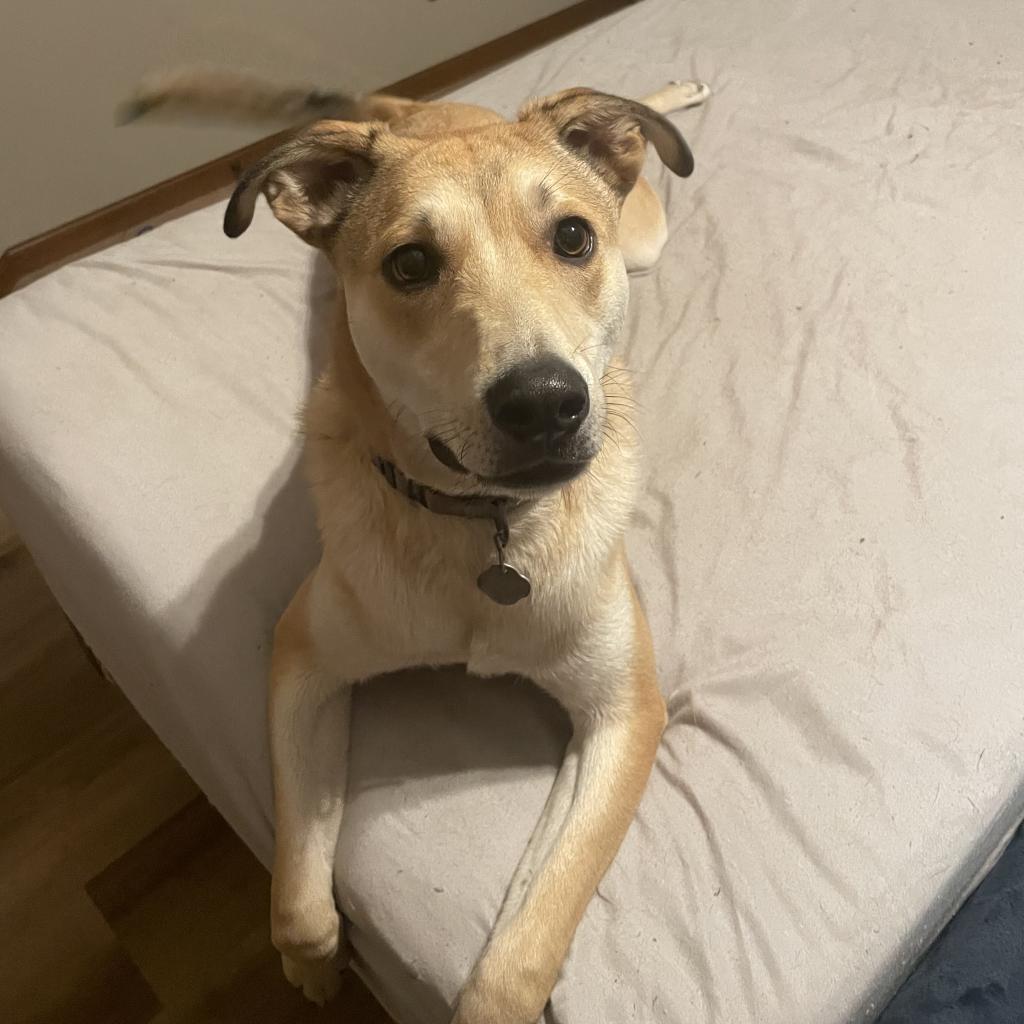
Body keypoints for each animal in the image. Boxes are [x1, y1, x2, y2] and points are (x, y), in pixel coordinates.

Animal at [123, 68, 708, 1019]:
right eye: (410, 264)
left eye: (573, 237)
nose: (545, 402)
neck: (486, 530)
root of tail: (422, 107)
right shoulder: (302, 659)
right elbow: (295, 897)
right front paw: (313, 970)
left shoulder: (625, 710)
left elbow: (519, 953)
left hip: (646, 234)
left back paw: (673, 93)